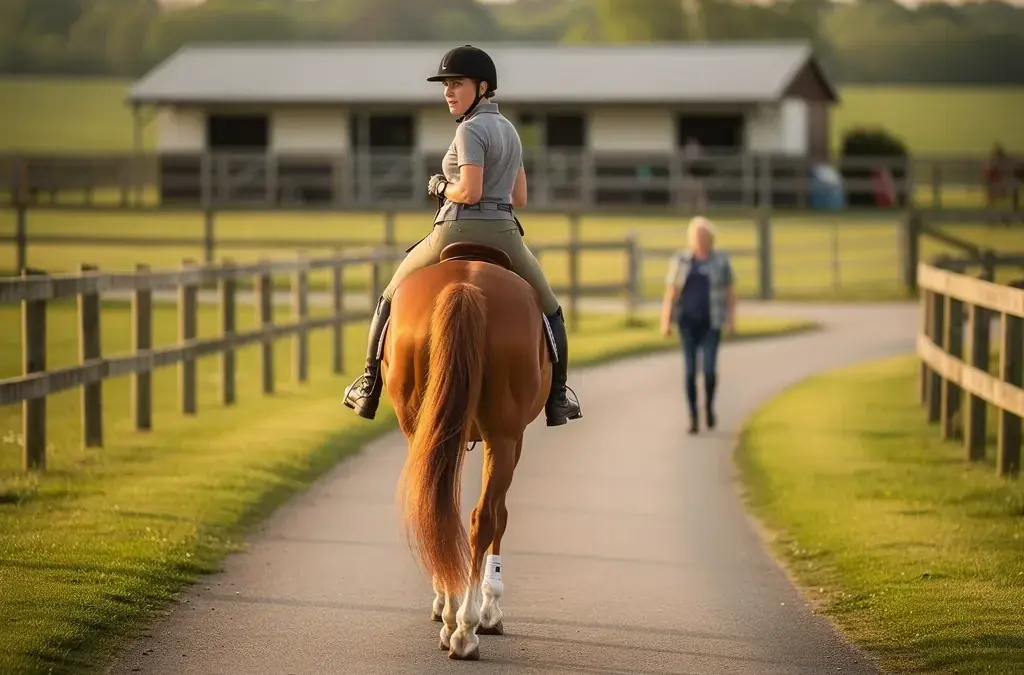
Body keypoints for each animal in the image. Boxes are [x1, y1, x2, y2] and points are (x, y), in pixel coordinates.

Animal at [381, 242, 554, 661]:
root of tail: (466, 287)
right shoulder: (514, 439)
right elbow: (499, 516)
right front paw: (489, 610)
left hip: (427, 428)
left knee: (442, 511)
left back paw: (455, 622)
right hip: (503, 437)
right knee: (483, 516)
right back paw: (467, 626)